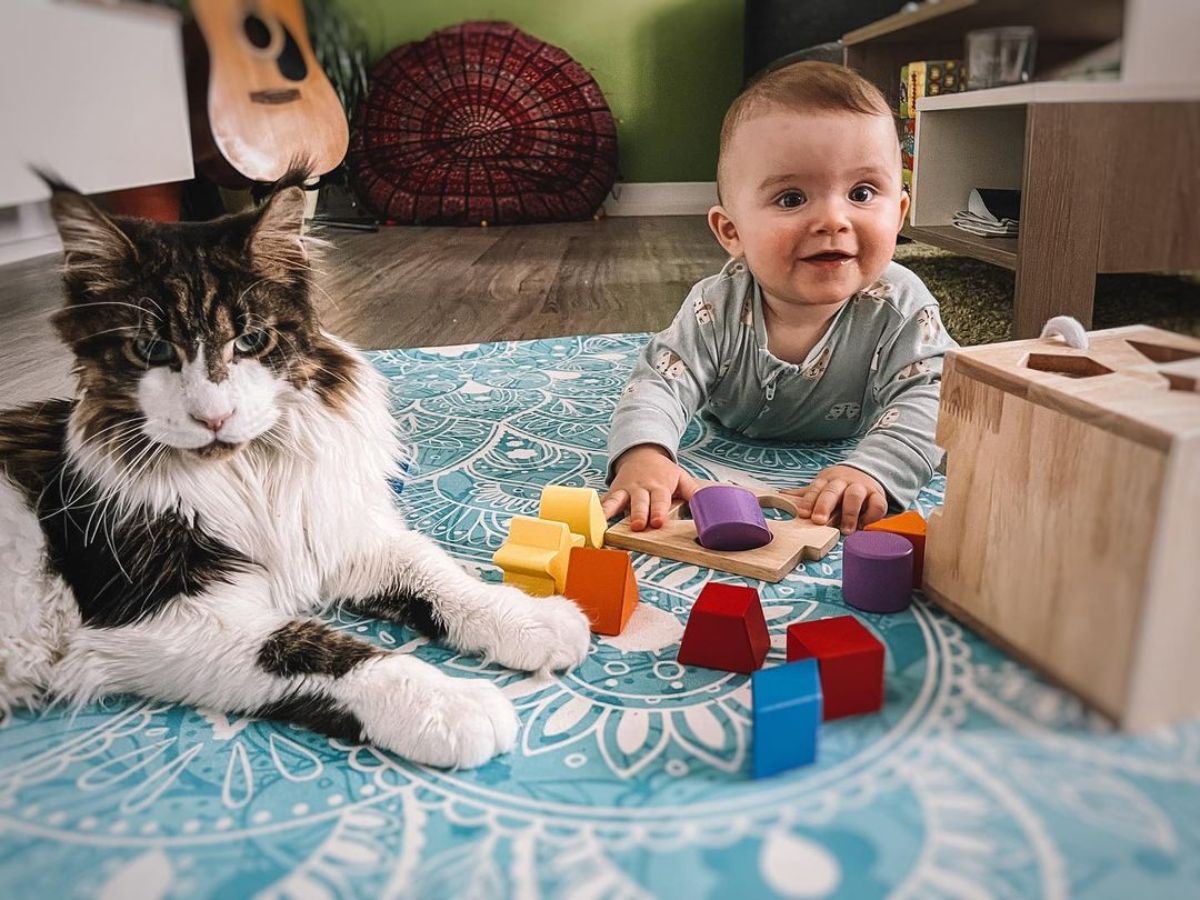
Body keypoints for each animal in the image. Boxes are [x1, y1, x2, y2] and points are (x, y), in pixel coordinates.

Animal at [0, 180, 590, 772]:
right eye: (152, 350)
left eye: (250, 341)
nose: (213, 417)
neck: (251, 473)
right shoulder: (158, 617)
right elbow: (319, 652)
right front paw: (449, 706)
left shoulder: (333, 535)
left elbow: (437, 575)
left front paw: (538, 620)